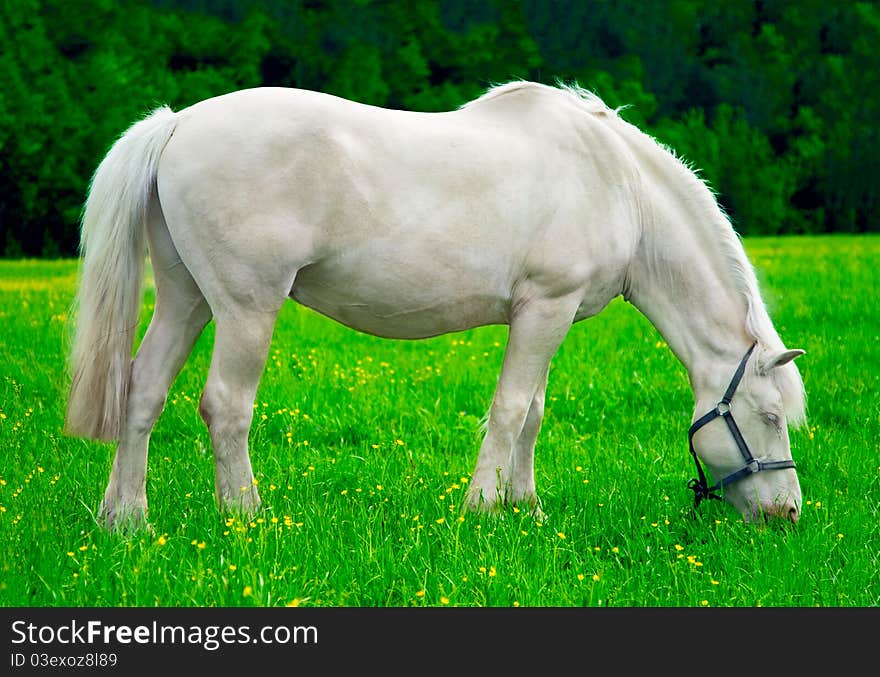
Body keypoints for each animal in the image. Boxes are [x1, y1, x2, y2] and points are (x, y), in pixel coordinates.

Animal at [65, 82, 808, 532]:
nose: (788, 513)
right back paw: (247, 516)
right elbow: (509, 410)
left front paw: (526, 507)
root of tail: (177, 124)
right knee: (224, 405)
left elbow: (533, 412)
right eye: (771, 416)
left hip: (186, 299)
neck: (618, 184)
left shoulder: (548, 315)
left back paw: (126, 518)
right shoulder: (546, 306)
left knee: (143, 390)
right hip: (247, 306)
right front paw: (482, 509)